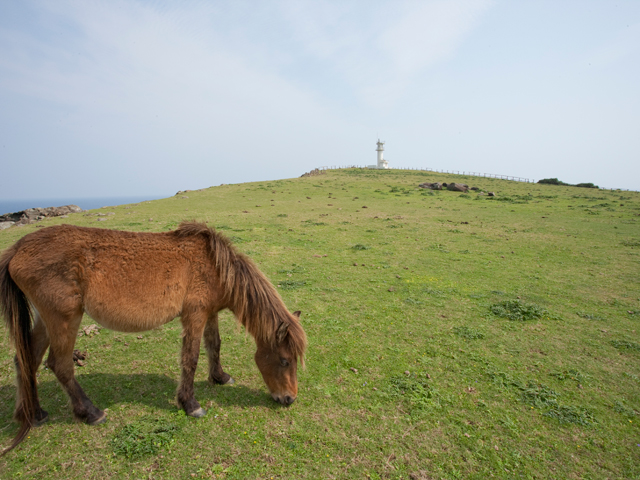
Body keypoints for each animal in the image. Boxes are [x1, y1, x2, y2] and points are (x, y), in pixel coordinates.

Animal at [0, 221, 306, 454]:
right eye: (284, 360)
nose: (289, 399)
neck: (214, 265)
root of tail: (18, 248)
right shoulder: (194, 315)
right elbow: (191, 358)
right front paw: (190, 405)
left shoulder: (210, 313)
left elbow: (214, 346)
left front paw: (220, 377)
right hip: (65, 319)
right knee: (59, 365)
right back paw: (91, 413)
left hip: (45, 320)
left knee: (26, 360)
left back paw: (35, 414)